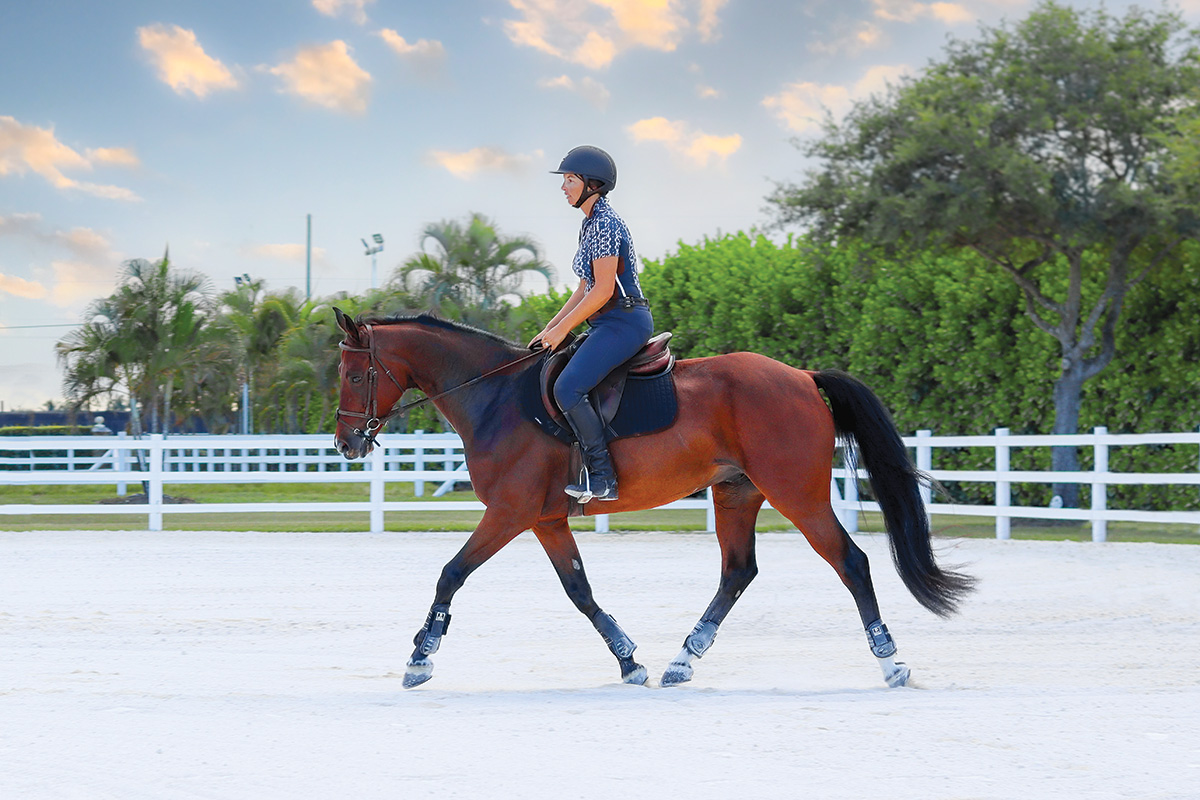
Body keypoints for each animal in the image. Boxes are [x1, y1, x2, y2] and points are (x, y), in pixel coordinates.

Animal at [333, 309, 969, 690]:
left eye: (355, 375)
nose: (345, 443)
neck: (496, 398)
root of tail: (803, 376)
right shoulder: (545, 520)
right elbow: (580, 592)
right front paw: (629, 659)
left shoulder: (510, 514)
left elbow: (451, 573)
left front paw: (421, 656)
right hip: (736, 493)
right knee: (738, 572)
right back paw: (682, 660)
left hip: (797, 493)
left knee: (851, 562)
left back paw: (891, 661)